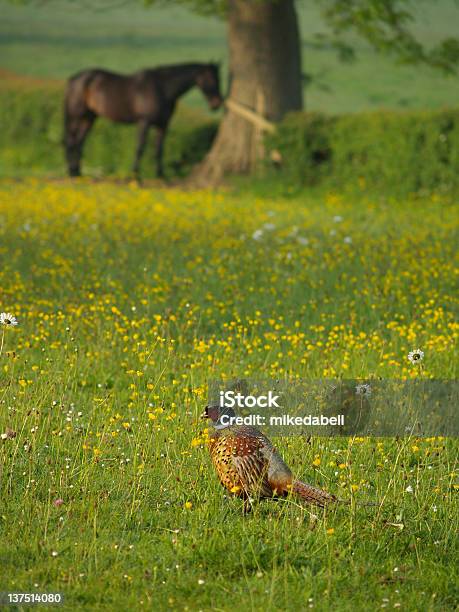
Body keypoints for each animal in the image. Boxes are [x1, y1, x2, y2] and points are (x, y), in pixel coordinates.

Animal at [64, 64, 223, 179]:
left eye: (219, 79)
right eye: (211, 79)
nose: (217, 103)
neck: (162, 89)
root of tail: (74, 79)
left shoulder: (162, 125)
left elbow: (159, 149)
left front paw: (160, 175)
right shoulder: (144, 122)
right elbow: (140, 147)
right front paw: (135, 174)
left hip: (89, 117)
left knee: (79, 141)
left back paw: (77, 172)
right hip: (76, 116)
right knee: (71, 140)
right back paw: (72, 172)